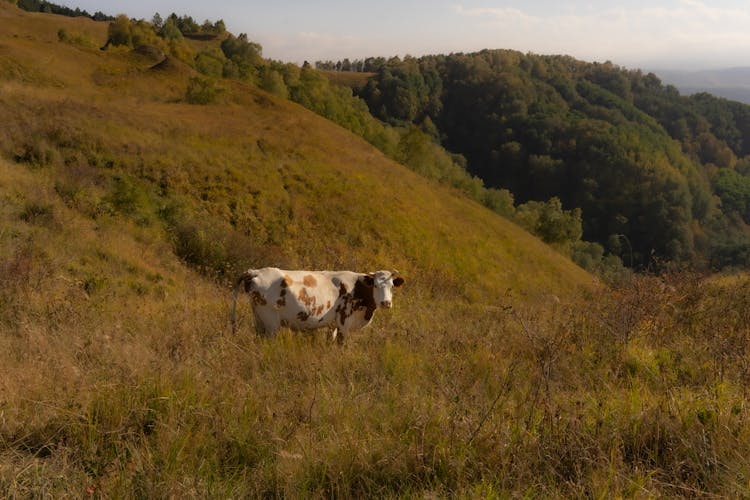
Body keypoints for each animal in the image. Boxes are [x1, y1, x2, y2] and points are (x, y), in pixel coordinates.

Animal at [231, 266, 406, 344]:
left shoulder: (333, 325)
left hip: (258, 317)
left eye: (391, 286)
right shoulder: (343, 321)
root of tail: (255, 271)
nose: (386, 303)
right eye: (375, 285)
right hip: (270, 321)